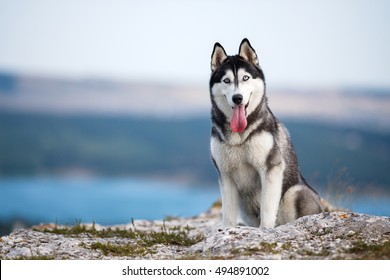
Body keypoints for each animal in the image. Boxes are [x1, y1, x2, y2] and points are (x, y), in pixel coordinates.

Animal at [210, 38, 322, 228]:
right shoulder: (225, 174)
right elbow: (228, 214)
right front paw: (226, 230)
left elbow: (267, 208)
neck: (239, 137)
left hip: (294, 192)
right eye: (226, 80)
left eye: (245, 78)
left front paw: (266, 229)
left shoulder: (271, 168)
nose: (237, 98)